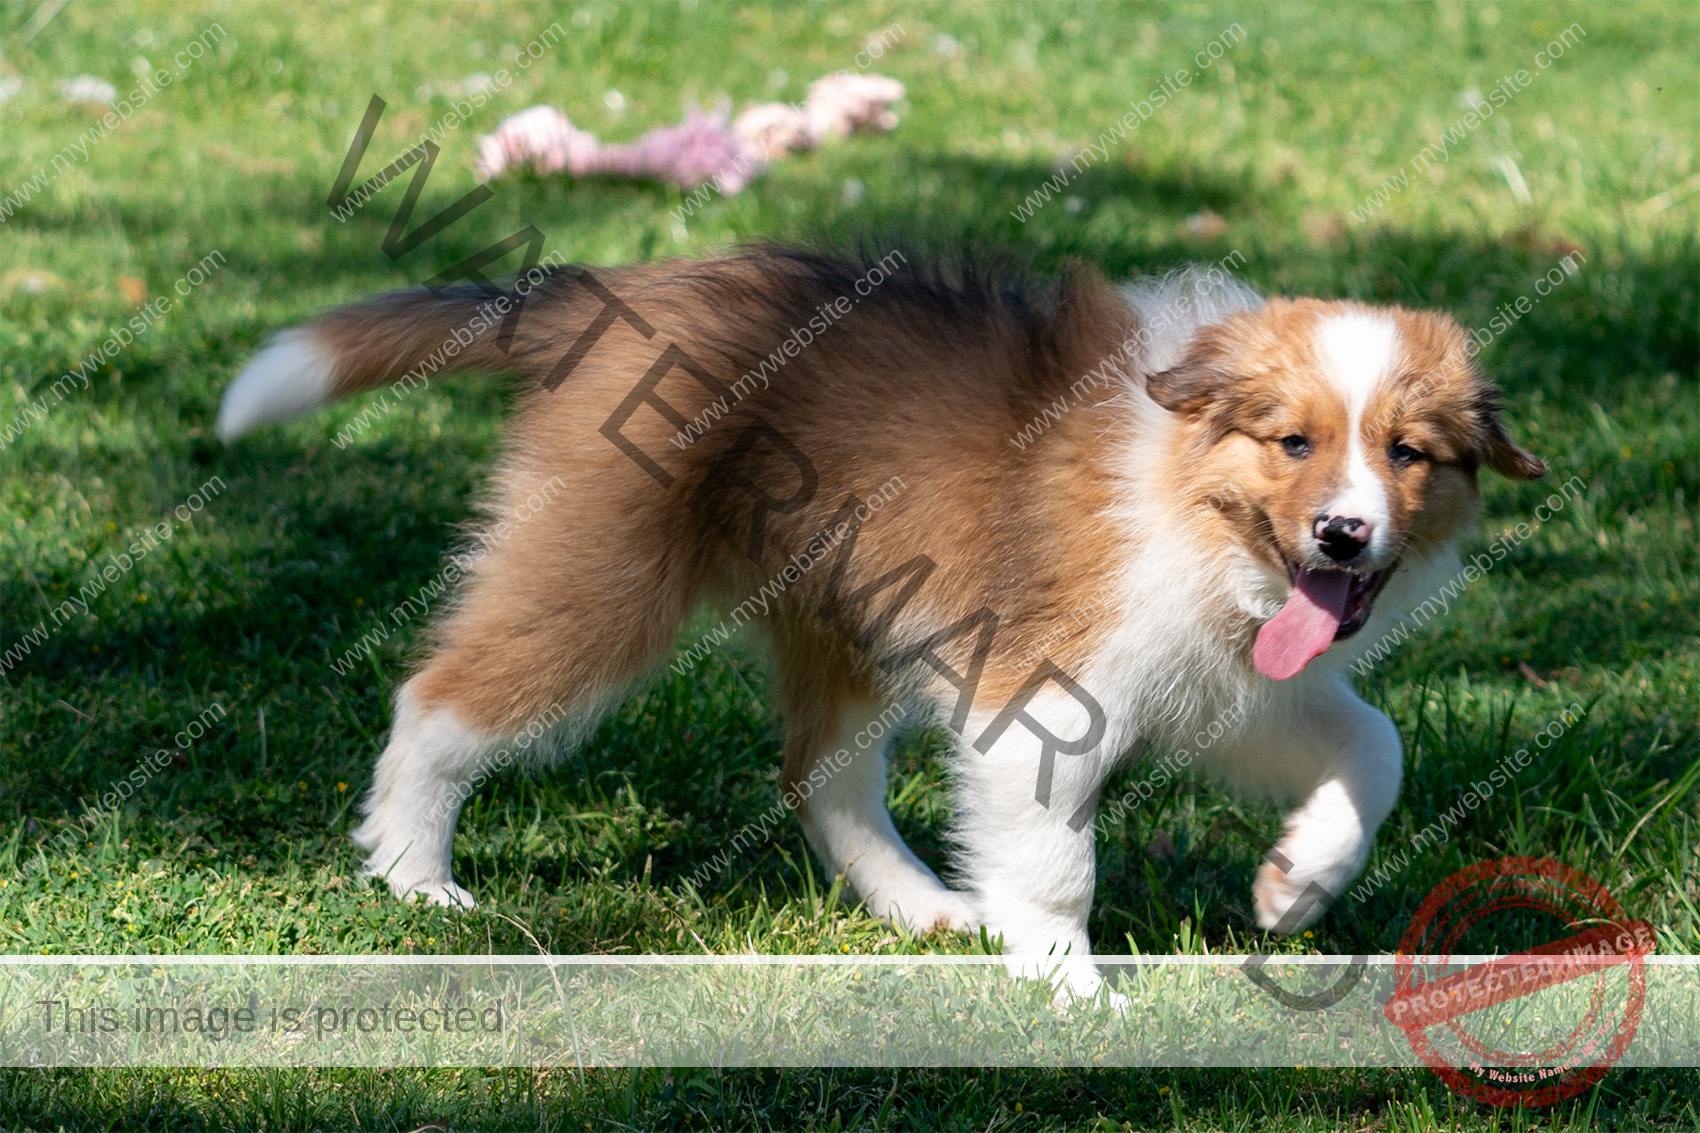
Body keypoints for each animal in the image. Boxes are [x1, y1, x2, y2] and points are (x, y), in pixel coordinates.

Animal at [212, 244, 1543, 986]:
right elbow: (1055, 860)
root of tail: (614, 288)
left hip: (844, 609)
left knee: (820, 772)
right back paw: (412, 877)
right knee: (437, 697)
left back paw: (927, 908)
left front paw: (1294, 886)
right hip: (606, 572)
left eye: (1407, 452)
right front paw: (1072, 993)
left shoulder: (1230, 683)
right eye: (1293, 443)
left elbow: (1373, 743)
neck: (1195, 505)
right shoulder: (1041, 685)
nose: (1343, 536)